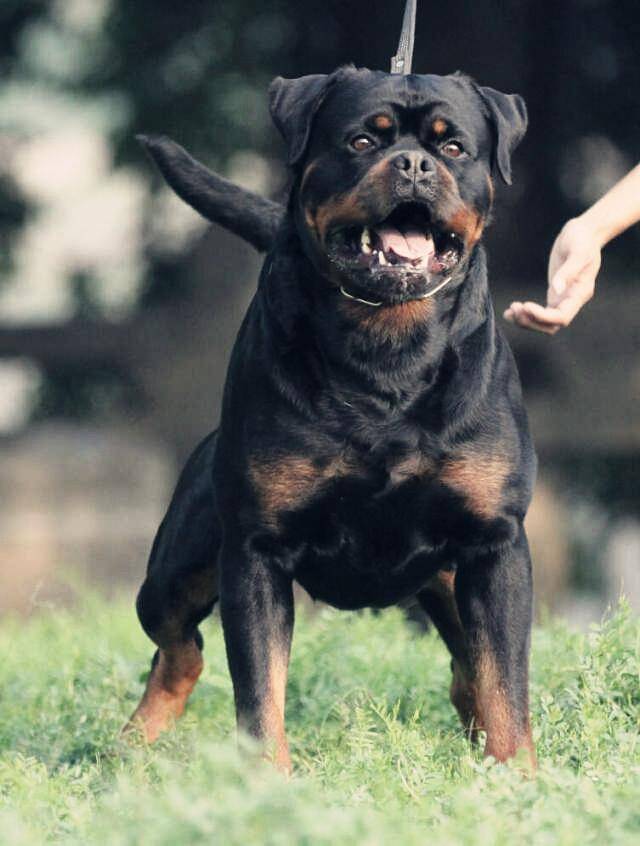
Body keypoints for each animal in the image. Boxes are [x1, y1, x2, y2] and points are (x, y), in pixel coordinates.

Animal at [125, 66, 536, 776]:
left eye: (453, 147)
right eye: (361, 141)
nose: (413, 164)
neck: (387, 347)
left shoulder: (496, 545)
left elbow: (506, 683)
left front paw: (519, 779)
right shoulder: (255, 552)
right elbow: (259, 693)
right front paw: (266, 784)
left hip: (451, 579)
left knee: (469, 670)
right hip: (178, 565)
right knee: (177, 649)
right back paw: (133, 746)